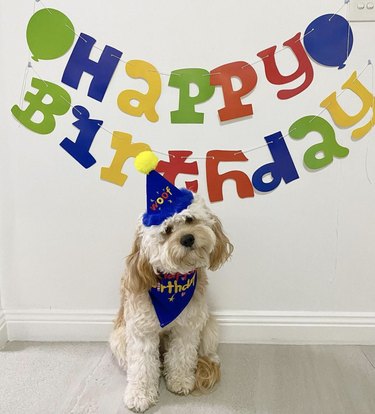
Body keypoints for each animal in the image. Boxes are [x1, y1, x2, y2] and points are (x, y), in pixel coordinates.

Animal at [109, 192, 232, 412]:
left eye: (190, 219)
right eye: (166, 230)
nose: (187, 238)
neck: (173, 280)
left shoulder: (188, 326)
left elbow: (182, 355)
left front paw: (181, 380)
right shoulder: (142, 331)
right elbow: (142, 366)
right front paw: (140, 395)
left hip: (209, 325)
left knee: (204, 351)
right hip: (119, 337)